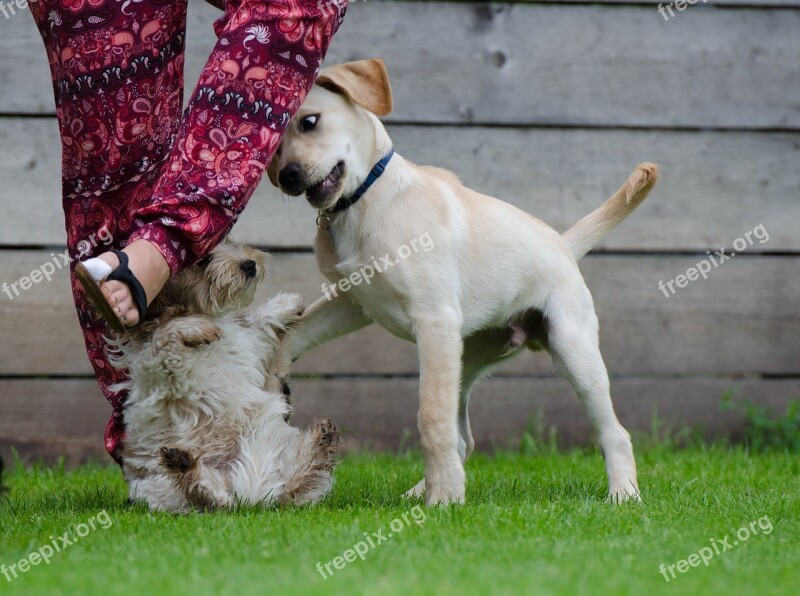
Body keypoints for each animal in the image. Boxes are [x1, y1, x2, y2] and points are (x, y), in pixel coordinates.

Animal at [111, 239, 340, 512]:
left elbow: (257, 325)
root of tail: (249, 494)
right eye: (203, 260)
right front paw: (195, 328)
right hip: (160, 485)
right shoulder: (155, 369)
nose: (249, 264)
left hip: (280, 451)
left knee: (294, 480)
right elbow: (165, 339)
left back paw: (321, 439)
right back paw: (185, 468)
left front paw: (286, 304)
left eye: (227, 242)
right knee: (208, 499)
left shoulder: (248, 345)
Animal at [268, 59, 656, 502]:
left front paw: (445, 498)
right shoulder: (355, 300)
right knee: (463, 439)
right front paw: (274, 369)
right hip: (464, 359)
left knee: (615, 433)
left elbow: (430, 417)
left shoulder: (433, 320)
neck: (365, 201)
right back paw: (420, 490)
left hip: (572, 351)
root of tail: (562, 243)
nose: (287, 177)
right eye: (273, 149)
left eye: (310, 122)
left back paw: (623, 494)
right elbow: (295, 330)